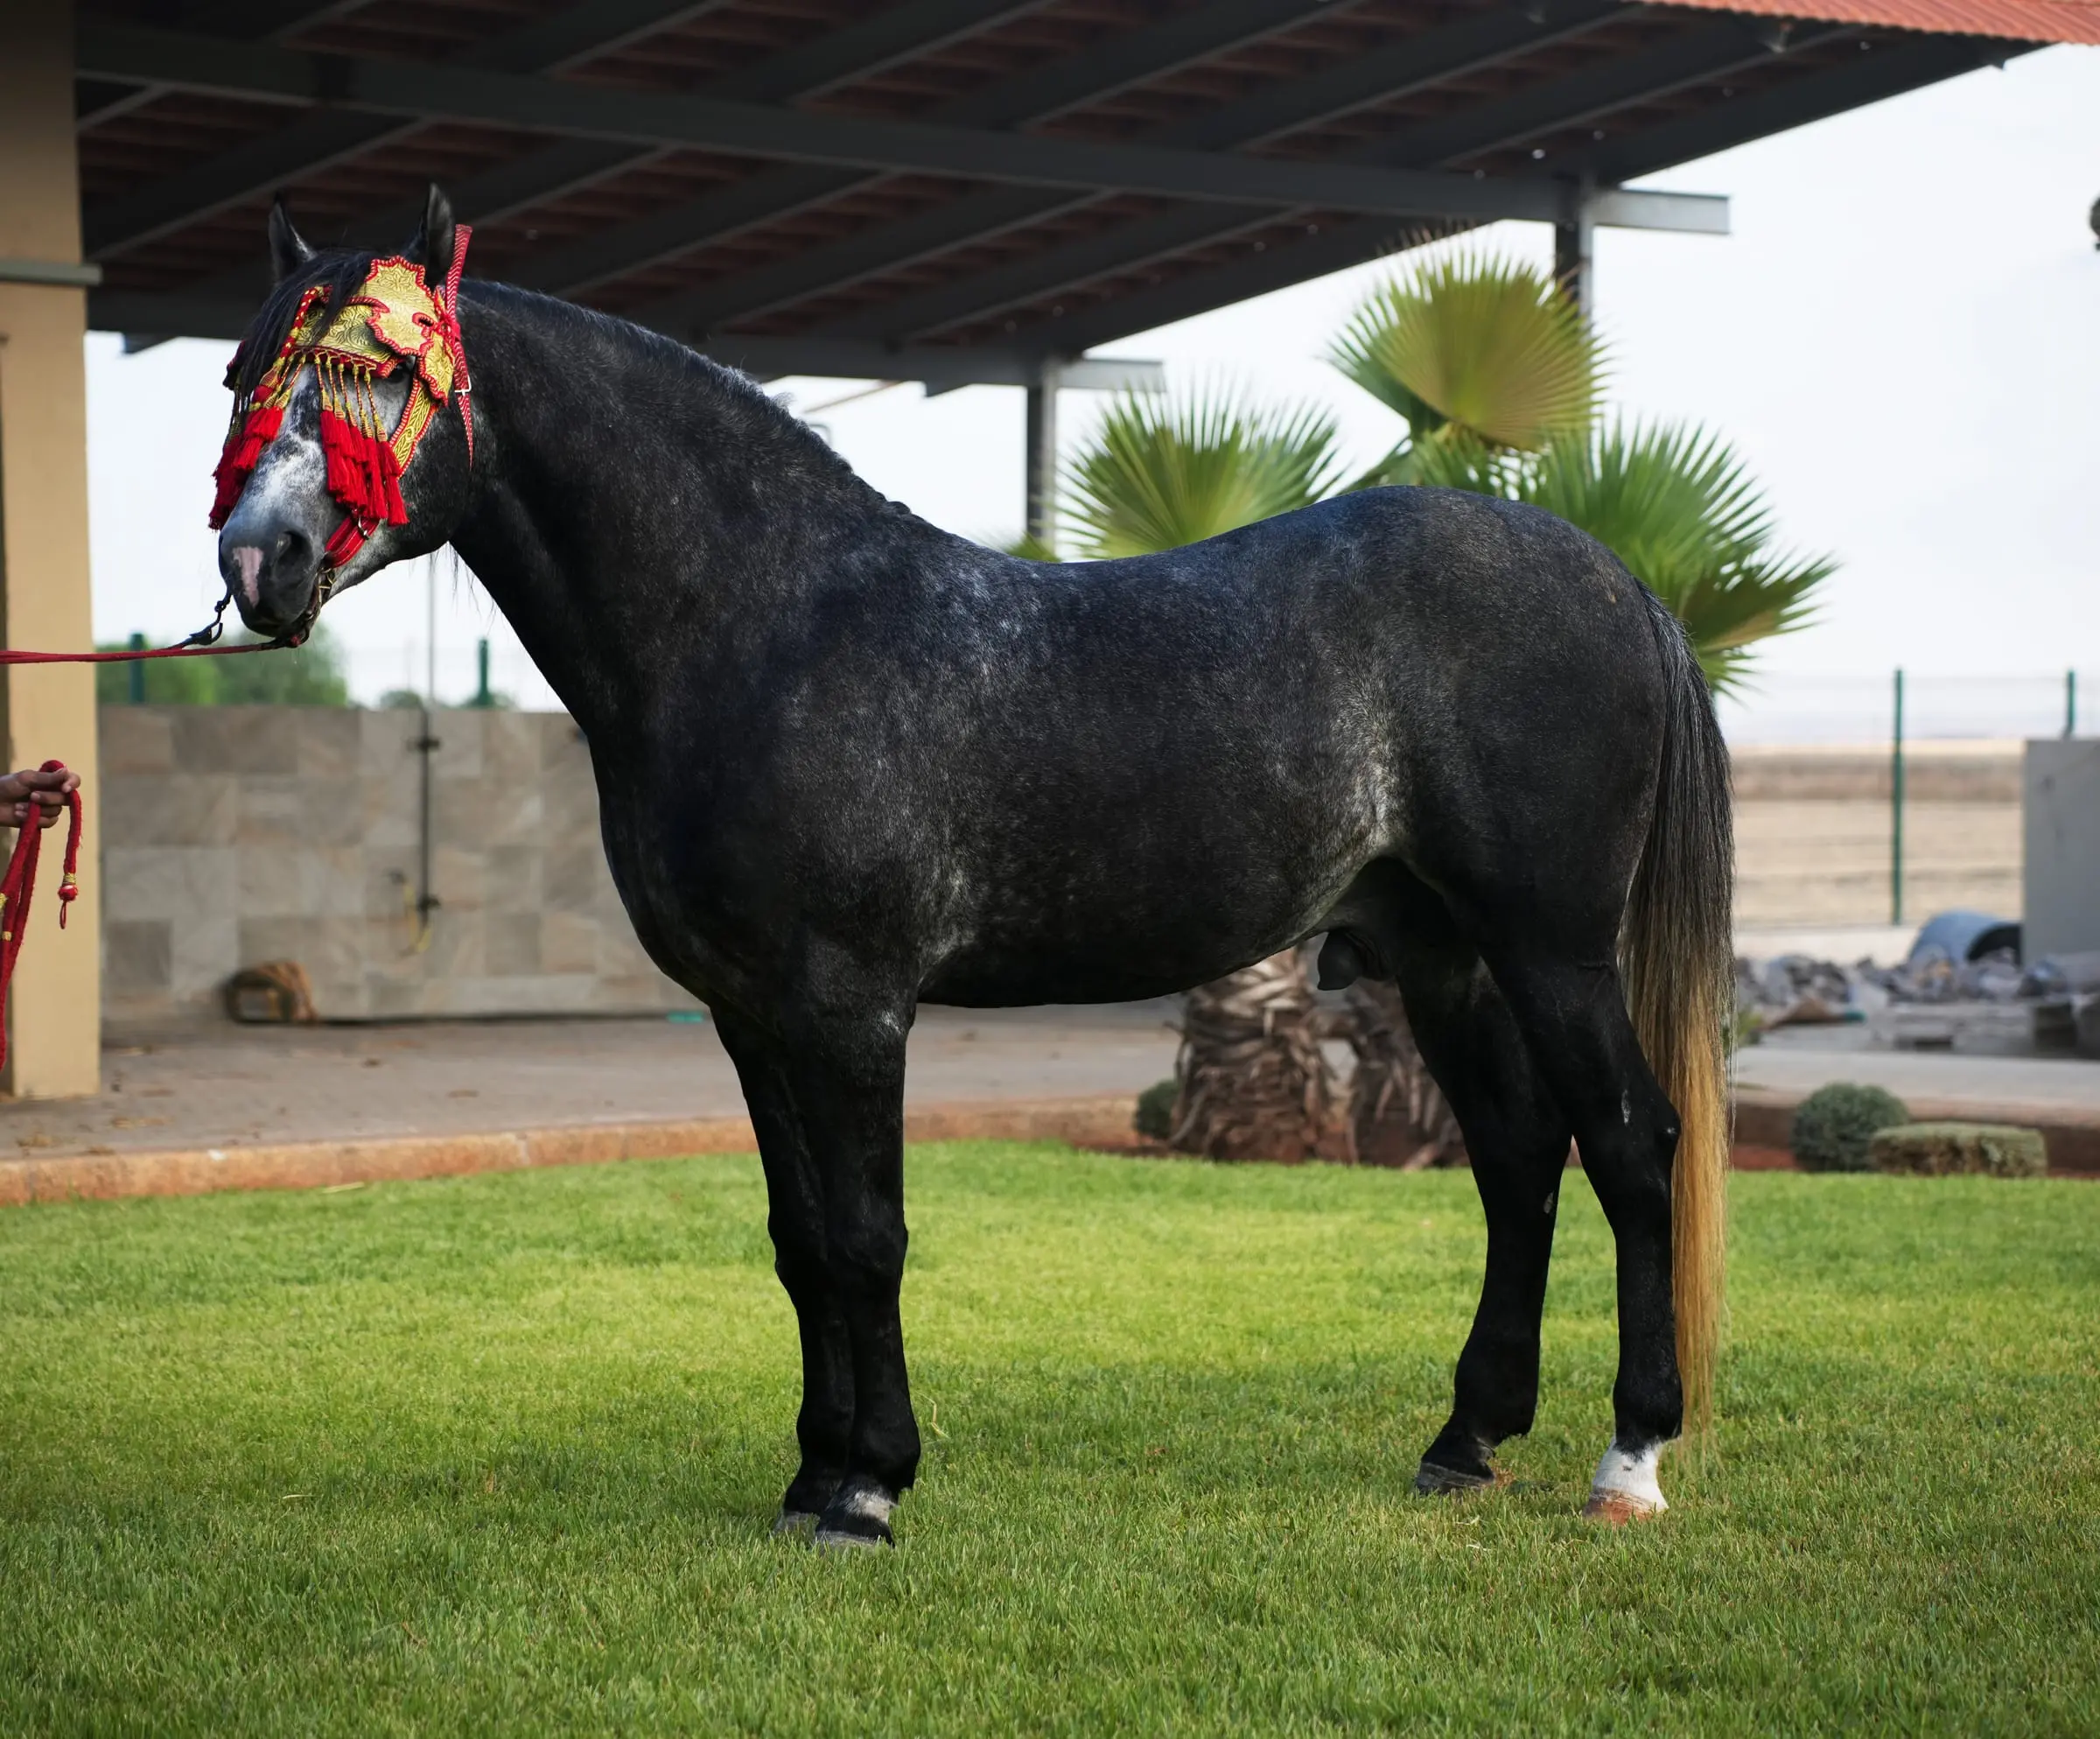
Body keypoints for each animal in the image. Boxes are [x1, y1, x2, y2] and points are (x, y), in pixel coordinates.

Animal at [214, 187, 1732, 1548]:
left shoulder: (851, 1004)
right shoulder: (750, 1014)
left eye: (374, 369)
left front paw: (870, 1488)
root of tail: (1619, 579)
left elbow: (867, 1234)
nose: (257, 559)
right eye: (241, 375)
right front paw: (811, 1475)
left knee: (1629, 1141)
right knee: (1518, 1157)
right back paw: (1465, 1439)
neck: (768, 627)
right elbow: (799, 1236)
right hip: (1444, 954)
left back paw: (1631, 1457)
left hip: (1551, 945)